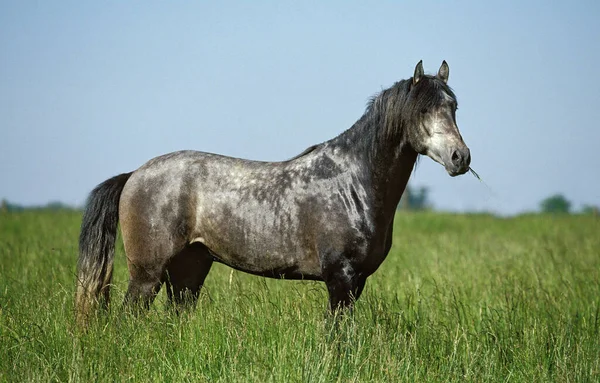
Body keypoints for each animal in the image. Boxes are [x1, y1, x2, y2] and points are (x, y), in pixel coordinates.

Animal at [75, 61, 472, 326]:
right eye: (423, 110)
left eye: (453, 107)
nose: (461, 157)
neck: (353, 183)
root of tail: (134, 175)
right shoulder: (340, 278)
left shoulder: (357, 281)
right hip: (147, 274)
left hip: (188, 271)